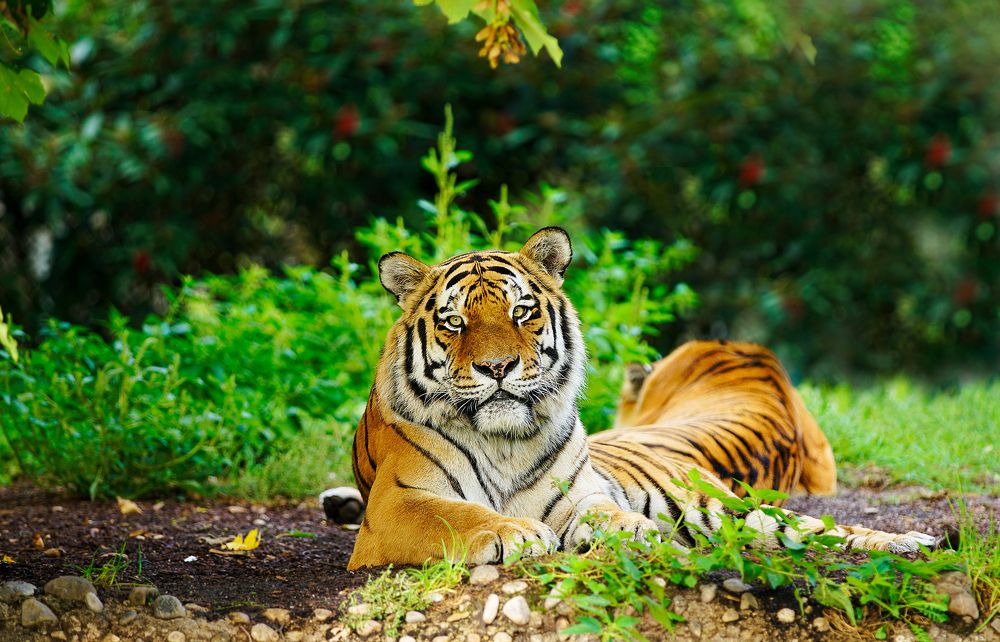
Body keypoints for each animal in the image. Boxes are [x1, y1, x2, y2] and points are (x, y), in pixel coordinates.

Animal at [321, 227, 936, 570]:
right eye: (454, 321)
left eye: (520, 312)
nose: (498, 368)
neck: (506, 442)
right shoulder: (397, 504)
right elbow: (455, 516)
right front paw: (516, 533)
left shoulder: (580, 492)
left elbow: (603, 510)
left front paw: (629, 530)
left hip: (723, 508)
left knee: (825, 529)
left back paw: (911, 542)